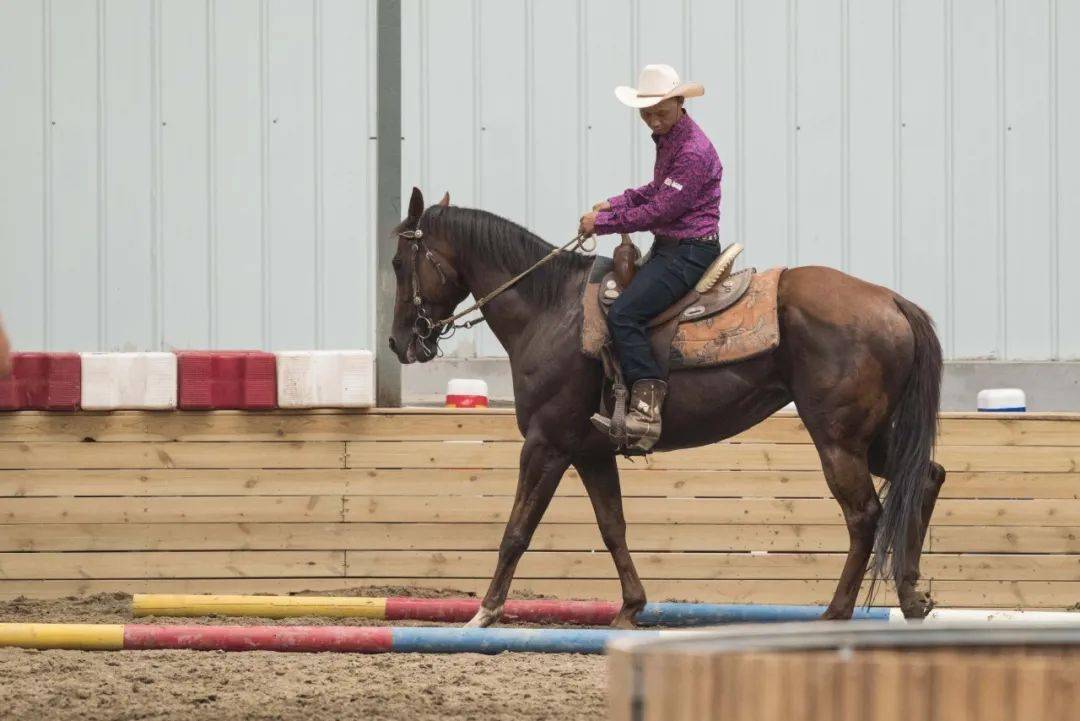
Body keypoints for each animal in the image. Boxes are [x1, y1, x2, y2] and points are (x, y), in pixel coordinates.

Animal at [388, 188, 946, 626]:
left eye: (397, 263)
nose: (399, 343)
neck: (550, 310)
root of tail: (892, 302)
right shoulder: (590, 451)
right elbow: (612, 528)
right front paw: (631, 607)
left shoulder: (546, 444)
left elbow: (517, 531)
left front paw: (485, 611)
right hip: (872, 437)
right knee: (924, 478)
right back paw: (912, 596)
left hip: (836, 438)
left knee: (864, 514)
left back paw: (836, 611)